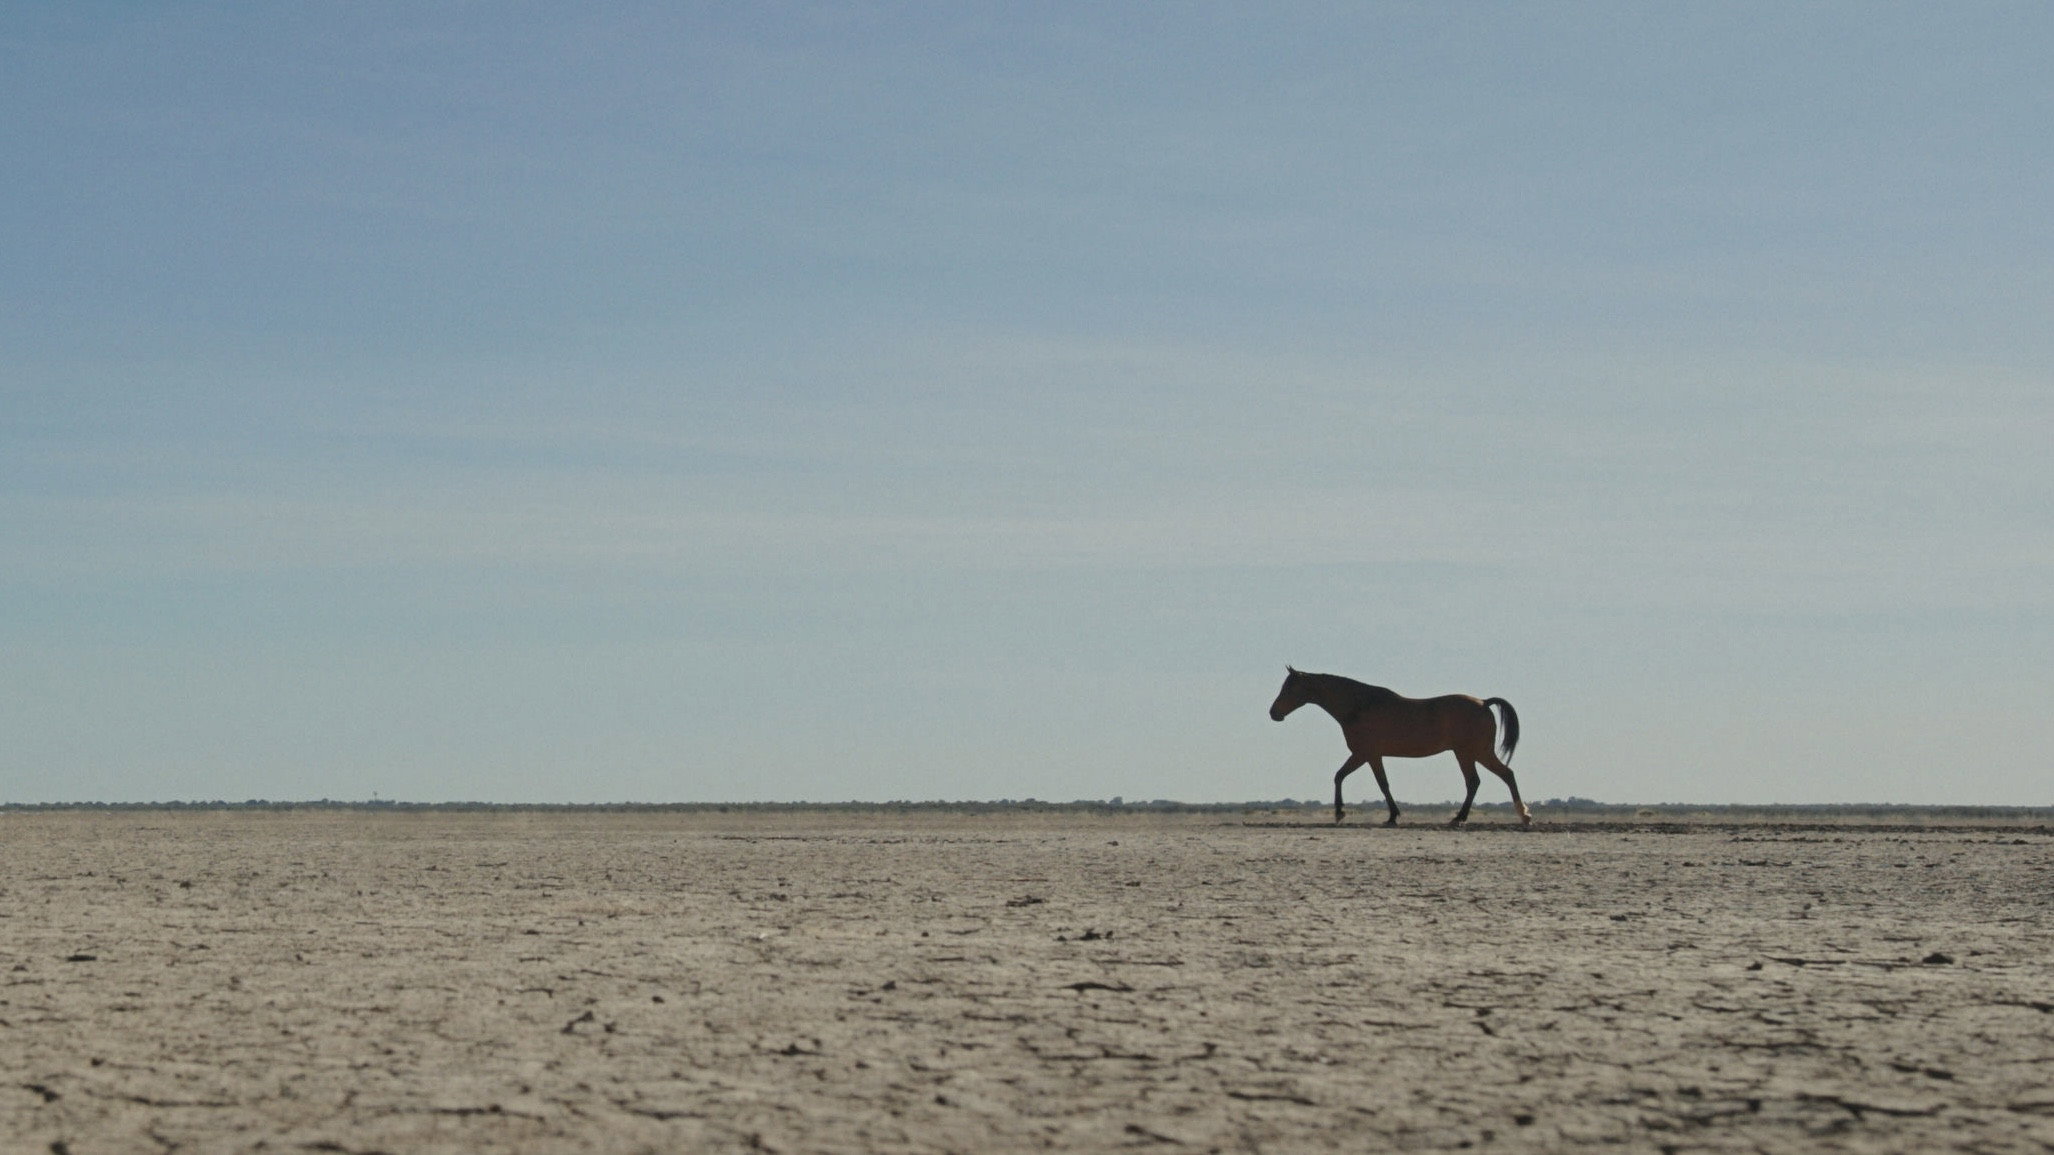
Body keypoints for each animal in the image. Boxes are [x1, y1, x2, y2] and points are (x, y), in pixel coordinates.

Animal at [1269, 667, 1529, 827]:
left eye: (1289, 688)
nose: (1273, 713)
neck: (1358, 706)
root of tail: (1484, 703)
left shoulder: (1366, 754)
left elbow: (1376, 782)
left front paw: (1349, 813)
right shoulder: (1367, 755)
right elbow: (1344, 777)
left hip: (1471, 753)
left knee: (1491, 778)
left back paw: (1512, 815)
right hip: (1471, 754)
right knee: (1489, 779)